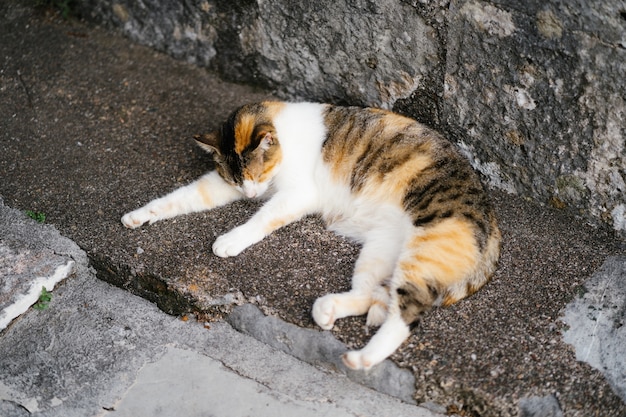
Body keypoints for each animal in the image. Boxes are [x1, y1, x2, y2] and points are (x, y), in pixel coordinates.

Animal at [120, 101, 498, 370]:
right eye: (236, 179)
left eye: (256, 174)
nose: (251, 193)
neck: (285, 138)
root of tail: (492, 226)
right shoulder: (221, 187)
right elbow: (181, 197)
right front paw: (139, 215)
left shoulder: (298, 195)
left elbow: (263, 218)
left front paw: (231, 240)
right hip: (381, 249)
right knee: (372, 293)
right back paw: (328, 310)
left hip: (424, 251)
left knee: (406, 314)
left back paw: (361, 358)